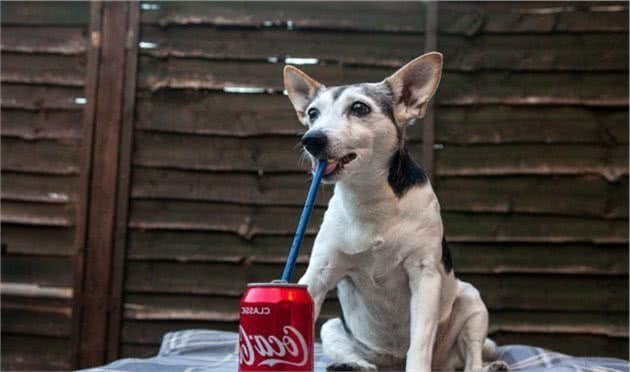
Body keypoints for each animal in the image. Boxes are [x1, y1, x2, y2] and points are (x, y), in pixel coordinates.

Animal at [286, 53, 508, 372]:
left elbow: (420, 342)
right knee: (360, 359)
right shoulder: (318, 274)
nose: (311, 139)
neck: (370, 198)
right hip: (333, 329)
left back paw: (488, 366)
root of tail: (392, 361)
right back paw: (350, 365)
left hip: (471, 302)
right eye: (313, 113)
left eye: (359, 108)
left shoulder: (425, 276)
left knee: (472, 357)